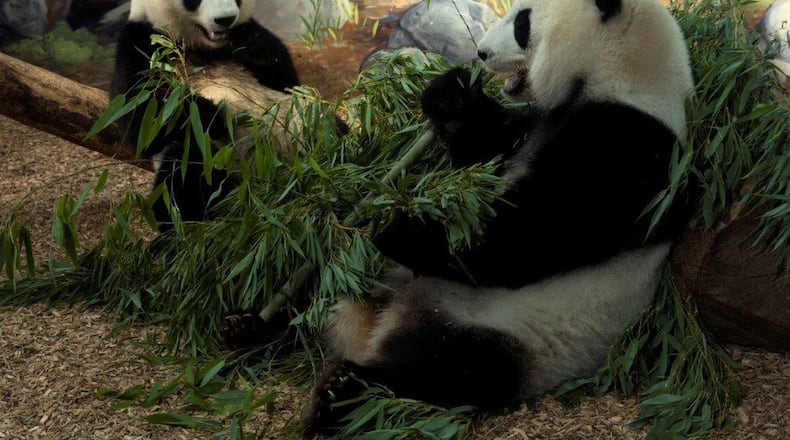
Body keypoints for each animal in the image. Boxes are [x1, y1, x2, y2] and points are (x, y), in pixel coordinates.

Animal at [110, 0, 299, 229]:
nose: (226, 19)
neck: (202, 47)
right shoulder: (140, 44)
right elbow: (141, 121)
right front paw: (214, 114)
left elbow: (288, 82)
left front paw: (254, 47)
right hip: (218, 169)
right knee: (184, 169)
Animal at [300, 0, 695, 432]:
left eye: (522, 22)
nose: (482, 53)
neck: (624, 73)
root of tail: (385, 317)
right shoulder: (534, 124)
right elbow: (485, 152)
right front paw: (451, 95)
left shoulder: (626, 149)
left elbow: (523, 241)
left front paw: (398, 226)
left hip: (511, 336)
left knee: (450, 371)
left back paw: (339, 392)